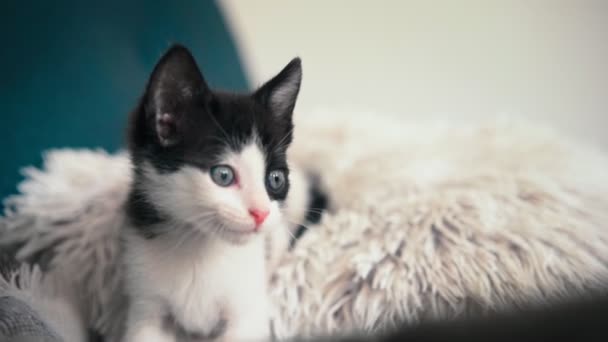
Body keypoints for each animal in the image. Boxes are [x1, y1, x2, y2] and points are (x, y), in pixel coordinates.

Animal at [123, 46, 304, 342]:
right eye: (223, 175)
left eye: (275, 179)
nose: (261, 213)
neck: (198, 246)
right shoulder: (144, 303)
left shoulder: (249, 313)